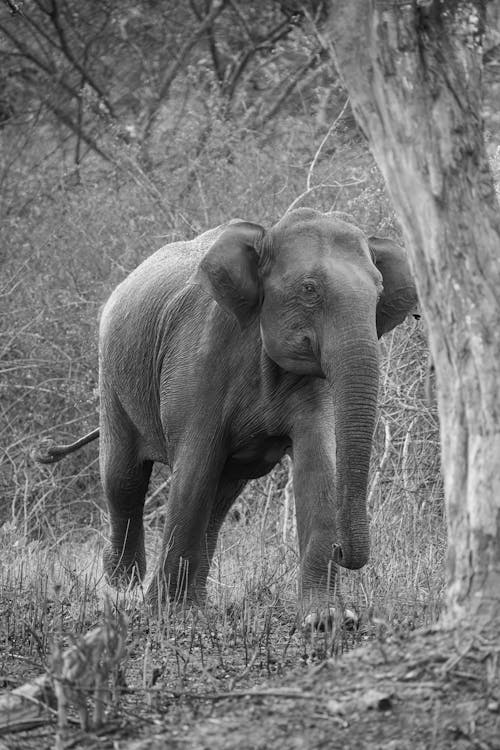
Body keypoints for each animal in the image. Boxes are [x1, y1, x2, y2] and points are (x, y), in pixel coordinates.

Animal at [38, 209, 418, 620]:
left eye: (379, 293)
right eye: (309, 289)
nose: (341, 550)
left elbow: (319, 465)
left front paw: (327, 619)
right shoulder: (198, 356)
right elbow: (194, 467)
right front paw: (163, 613)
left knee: (220, 494)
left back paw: (193, 602)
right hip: (112, 377)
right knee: (125, 479)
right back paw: (124, 586)